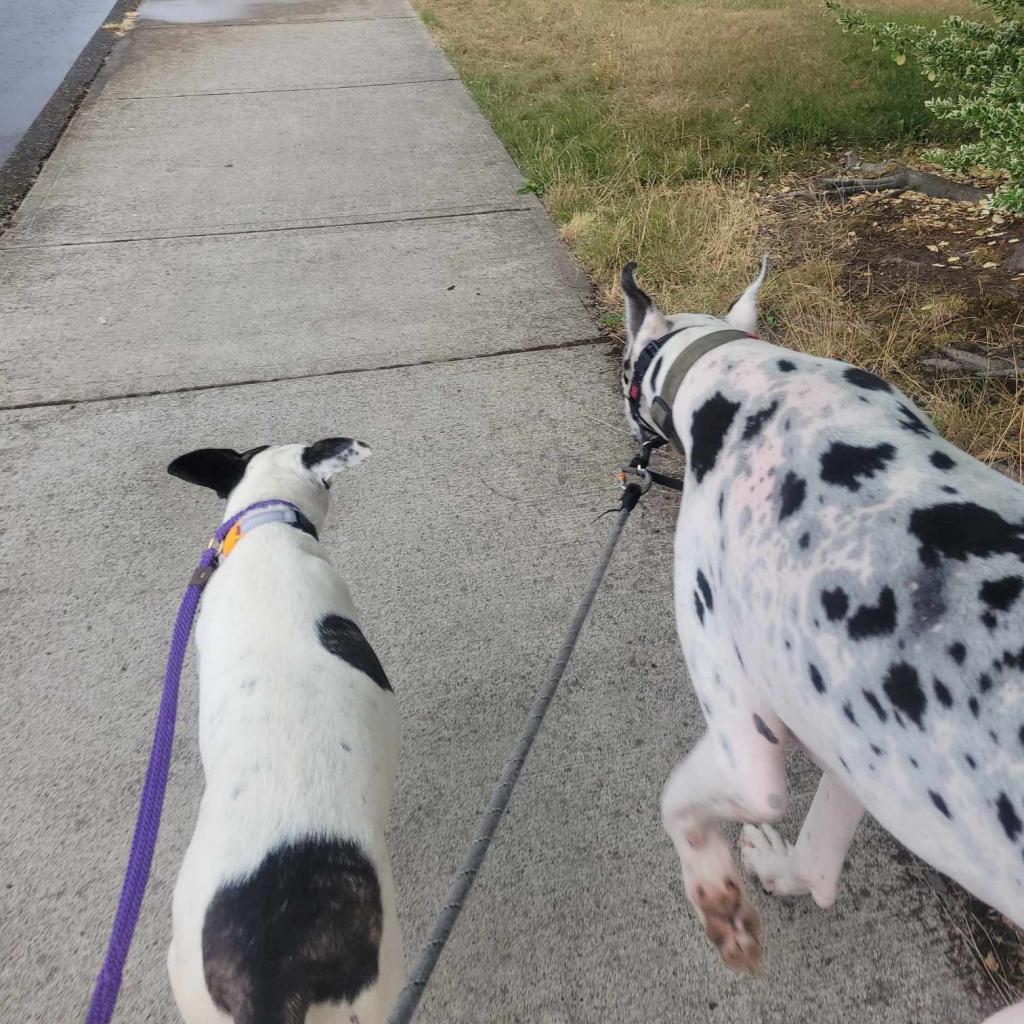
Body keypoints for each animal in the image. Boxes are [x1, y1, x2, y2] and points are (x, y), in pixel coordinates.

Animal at [618, 260, 1024, 1019]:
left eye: (628, 366)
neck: (741, 380)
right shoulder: (857, 745)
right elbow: (816, 855)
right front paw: (780, 871)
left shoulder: (746, 754)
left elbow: (677, 803)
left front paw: (717, 899)